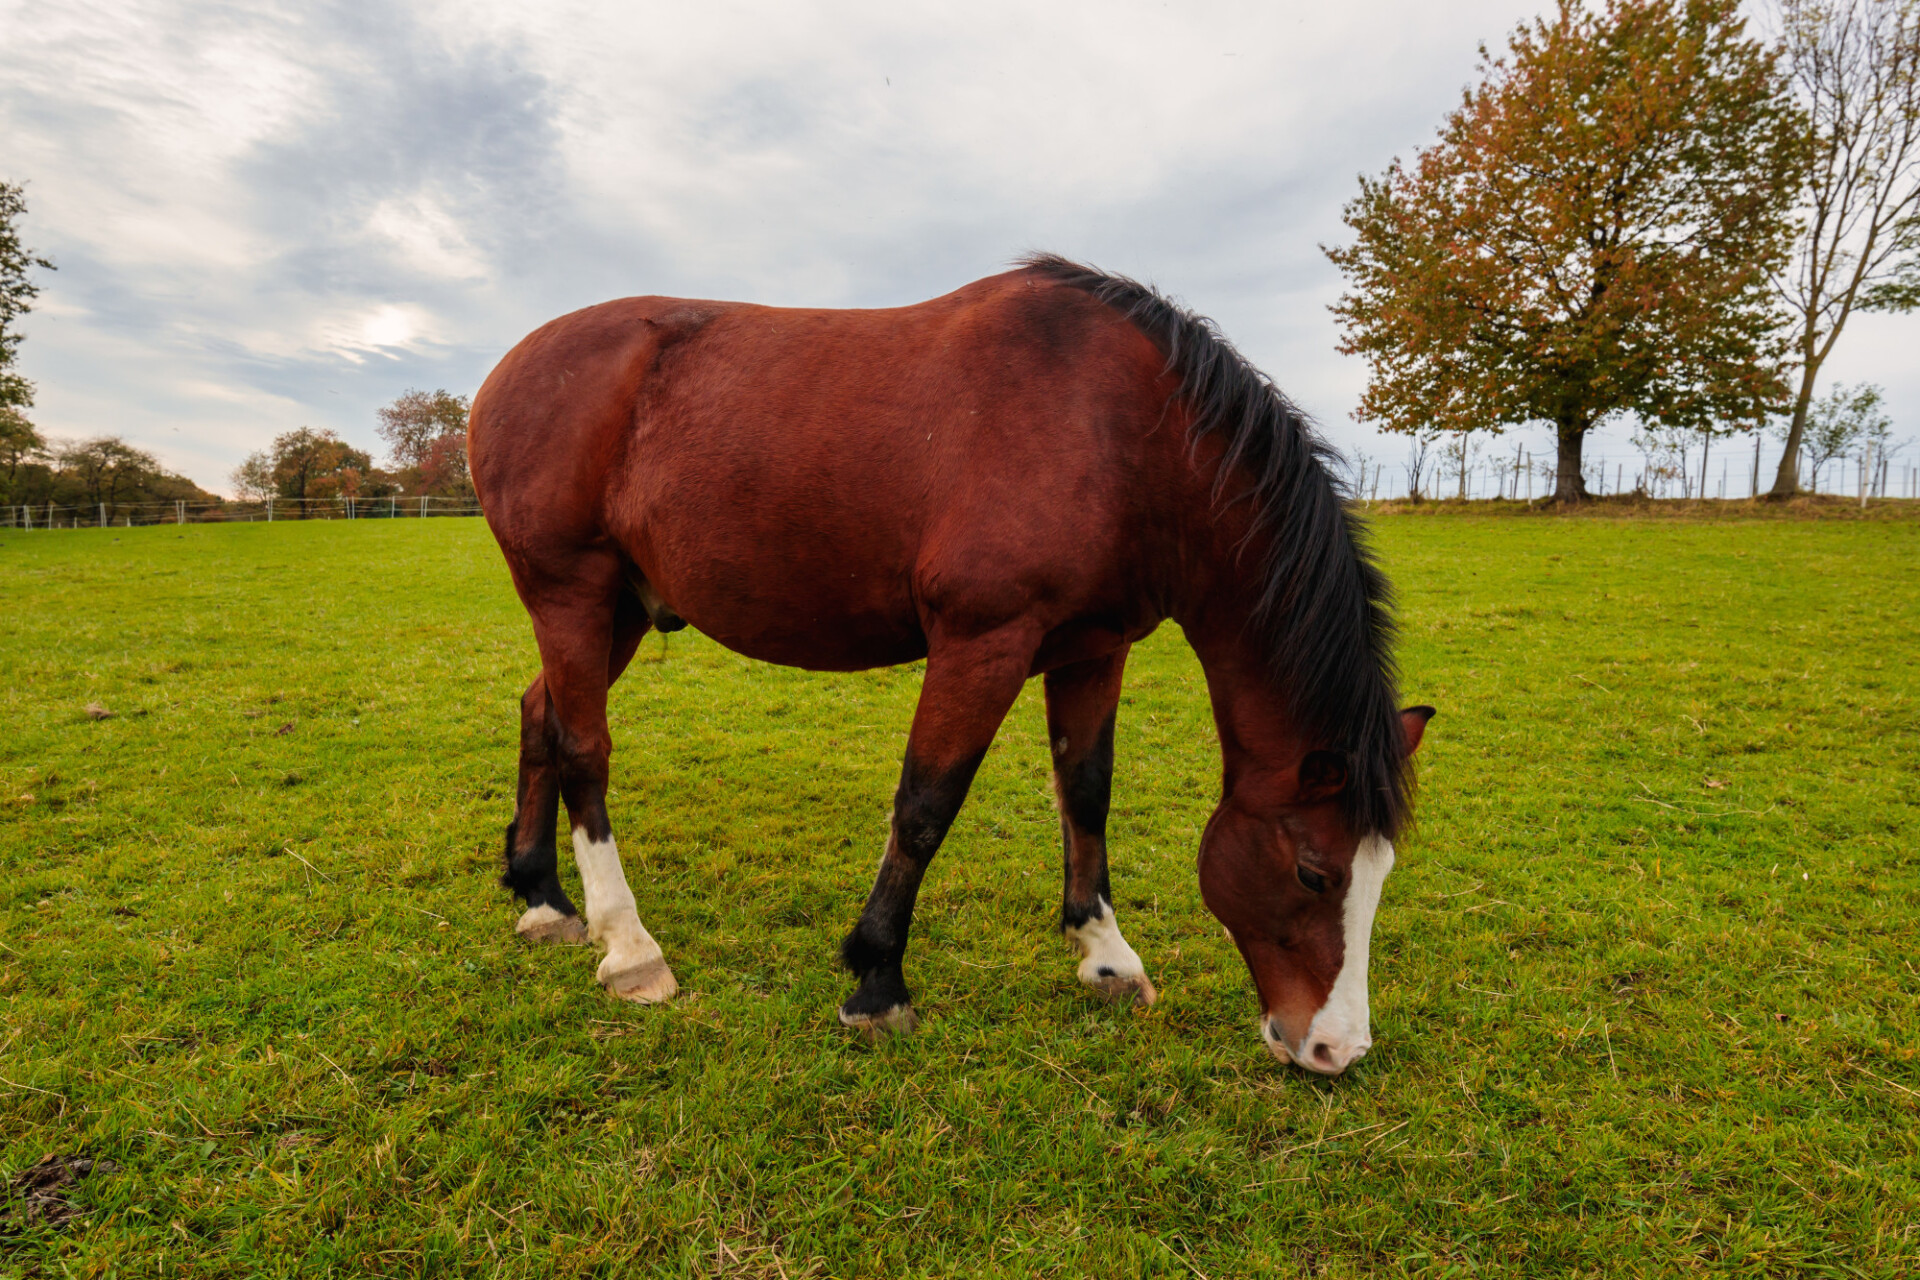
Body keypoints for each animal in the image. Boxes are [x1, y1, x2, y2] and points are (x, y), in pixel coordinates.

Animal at [468, 249, 1428, 1074]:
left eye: (1379, 872)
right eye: (1313, 872)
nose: (1336, 1048)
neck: (1122, 433)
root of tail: (507, 372)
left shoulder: (1094, 649)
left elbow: (1086, 791)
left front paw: (1106, 955)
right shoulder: (983, 640)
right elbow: (927, 803)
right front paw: (876, 980)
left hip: (621, 610)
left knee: (539, 716)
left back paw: (543, 897)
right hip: (571, 593)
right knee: (584, 749)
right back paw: (628, 946)